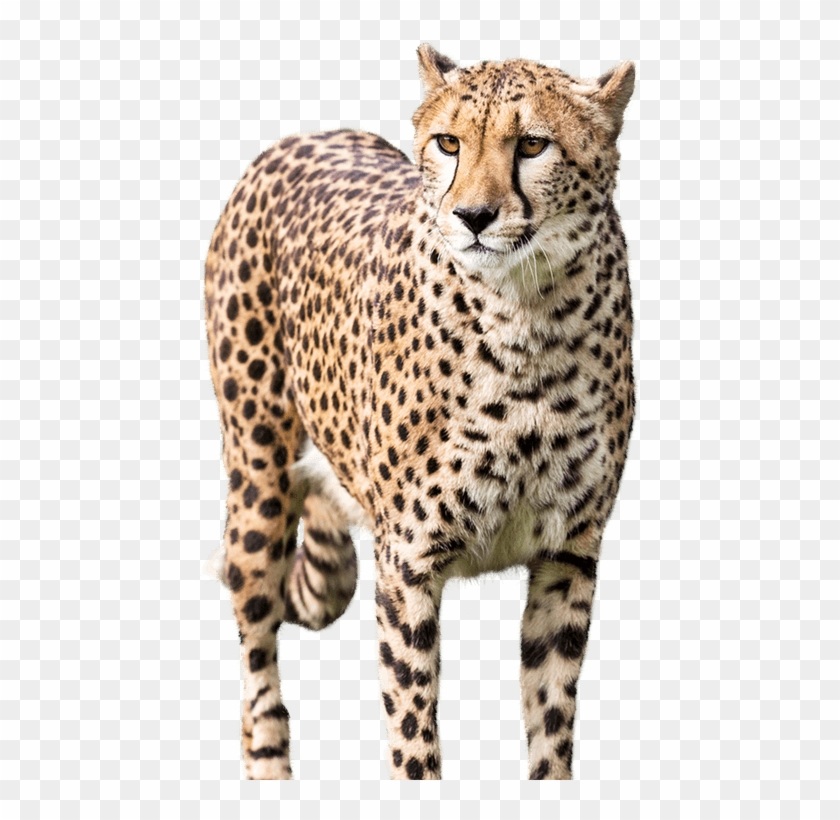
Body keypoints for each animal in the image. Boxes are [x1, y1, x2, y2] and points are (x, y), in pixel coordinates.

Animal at [203, 44, 636, 780]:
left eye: (532, 144)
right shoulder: (407, 563)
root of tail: (300, 137)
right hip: (257, 481)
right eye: (449, 143)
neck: (529, 314)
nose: (474, 216)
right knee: (257, 656)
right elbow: (413, 733)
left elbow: (551, 726)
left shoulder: (569, 554)